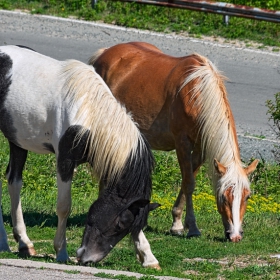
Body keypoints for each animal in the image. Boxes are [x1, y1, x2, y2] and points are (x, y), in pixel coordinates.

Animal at [0, 45, 156, 264]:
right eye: (119, 225)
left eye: (126, 228)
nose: (87, 258)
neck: (89, 112)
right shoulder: (65, 161)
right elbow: (64, 206)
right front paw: (61, 251)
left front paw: (148, 256)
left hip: (17, 142)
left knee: (14, 181)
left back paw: (23, 242)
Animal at [89, 42, 258, 270]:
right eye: (224, 197)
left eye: (247, 196)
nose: (236, 236)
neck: (196, 92)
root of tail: (105, 53)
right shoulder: (182, 143)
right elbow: (189, 184)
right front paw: (191, 227)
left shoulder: (201, 148)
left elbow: (188, 182)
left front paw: (178, 224)